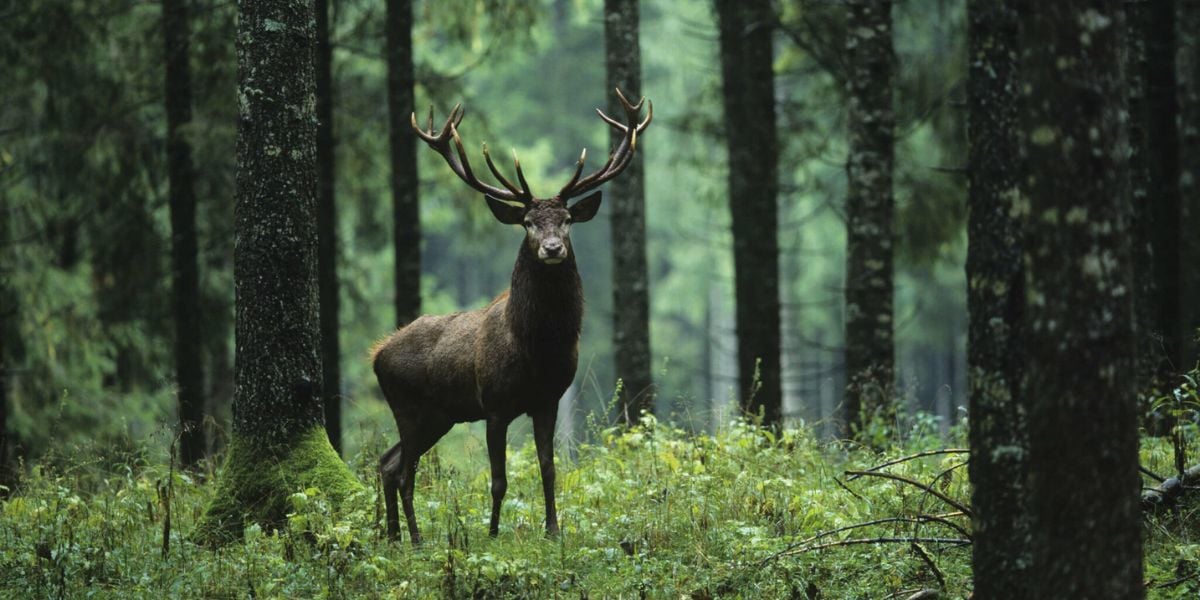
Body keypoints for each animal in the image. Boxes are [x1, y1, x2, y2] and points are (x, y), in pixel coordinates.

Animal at [374, 87, 657, 544]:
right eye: (527, 222)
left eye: (566, 219)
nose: (552, 248)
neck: (536, 349)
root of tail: (377, 354)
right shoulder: (494, 404)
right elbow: (498, 479)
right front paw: (492, 534)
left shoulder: (548, 400)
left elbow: (549, 469)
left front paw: (554, 530)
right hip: (409, 407)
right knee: (402, 471)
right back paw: (414, 539)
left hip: (439, 415)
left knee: (389, 462)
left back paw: (397, 537)